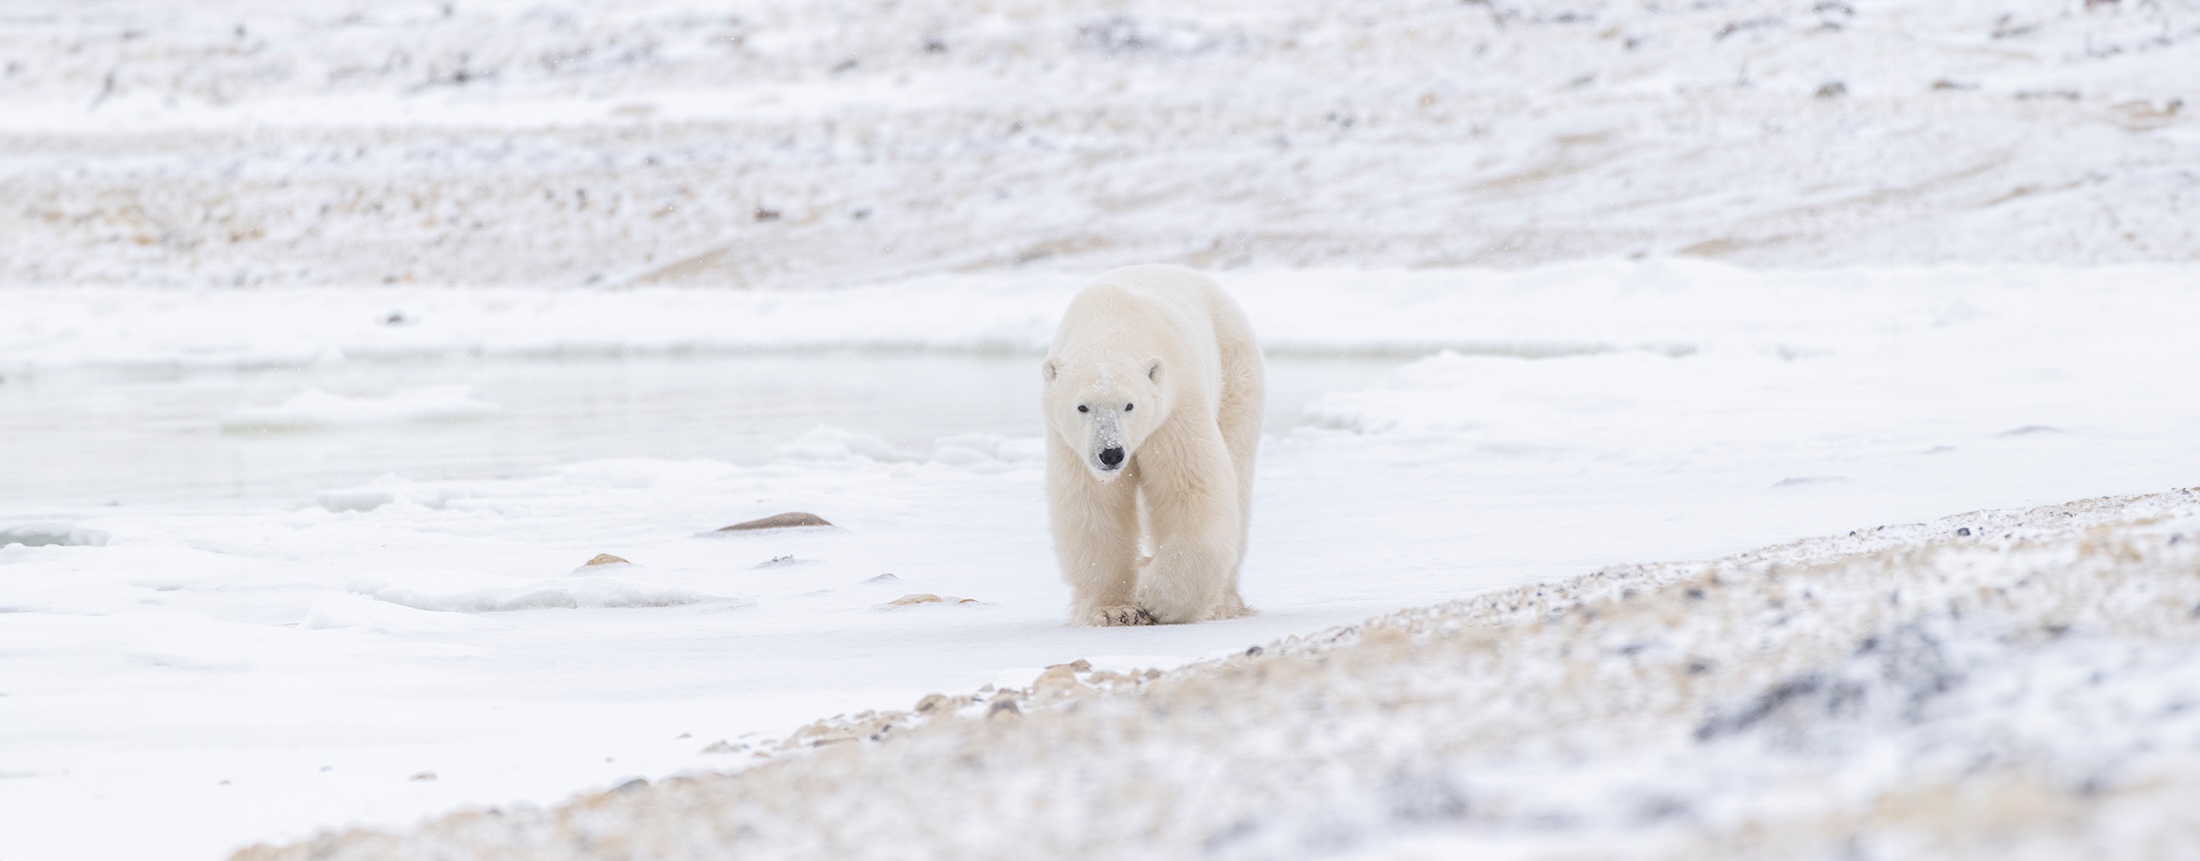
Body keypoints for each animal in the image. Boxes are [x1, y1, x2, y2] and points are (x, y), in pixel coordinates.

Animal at [1041, 264, 1265, 625]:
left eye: (1129, 405)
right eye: (1082, 406)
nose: (1111, 453)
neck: (1112, 324)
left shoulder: (1172, 408)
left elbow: (1190, 488)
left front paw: (1158, 600)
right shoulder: (1072, 444)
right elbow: (1093, 504)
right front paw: (1113, 609)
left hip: (1236, 371)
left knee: (1238, 473)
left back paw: (1222, 603)